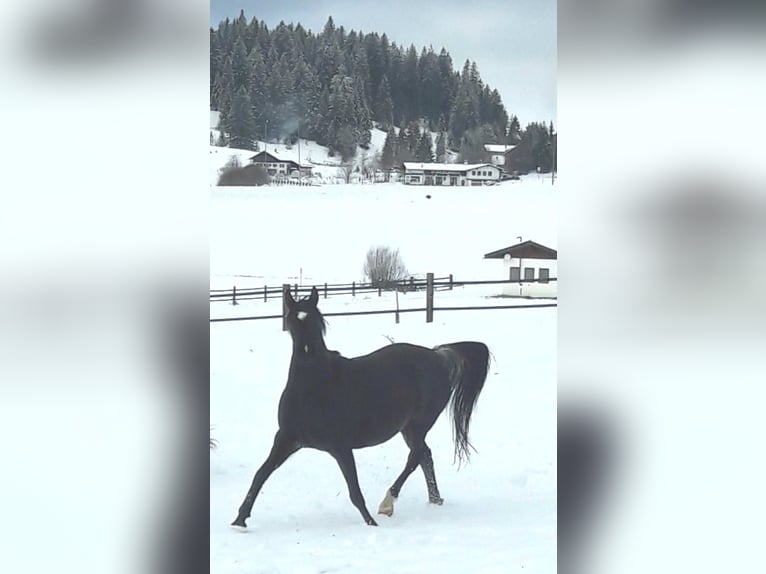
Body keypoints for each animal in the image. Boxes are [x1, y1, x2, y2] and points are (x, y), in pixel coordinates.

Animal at [231, 286, 491, 528]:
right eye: (292, 319)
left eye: (314, 319)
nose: (307, 354)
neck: (314, 388)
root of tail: (439, 356)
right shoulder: (287, 438)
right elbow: (260, 474)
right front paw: (240, 520)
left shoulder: (341, 447)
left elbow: (354, 490)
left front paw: (370, 523)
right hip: (409, 428)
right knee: (424, 456)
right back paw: (434, 500)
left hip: (417, 425)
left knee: (416, 456)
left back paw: (388, 503)